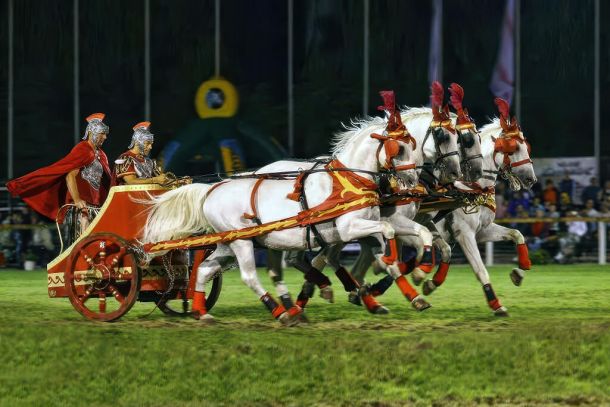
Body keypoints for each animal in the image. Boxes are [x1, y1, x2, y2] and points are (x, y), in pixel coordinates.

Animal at [142, 116, 418, 326]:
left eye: (411, 146)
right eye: (399, 148)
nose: (413, 180)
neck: (349, 180)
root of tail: (211, 189)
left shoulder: (360, 230)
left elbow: (384, 240)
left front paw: (400, 287)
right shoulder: (349, 229)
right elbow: (388, 229)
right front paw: (388, 270)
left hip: (227, 243)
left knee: (204, 270)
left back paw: (202, 312)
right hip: (241, 242)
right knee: (249, 276)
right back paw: (281, 312)